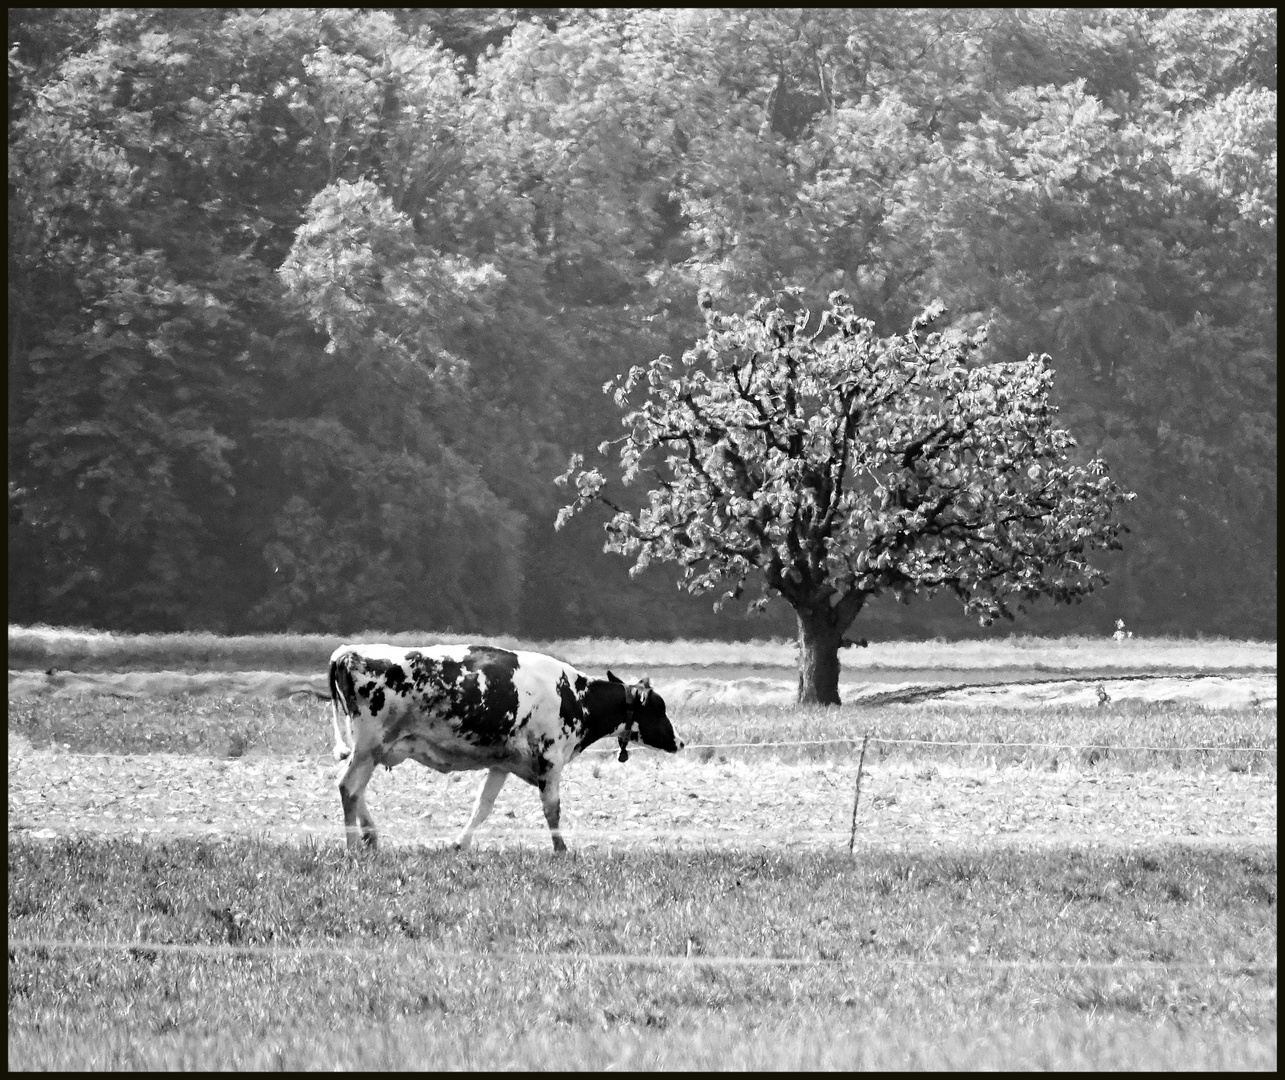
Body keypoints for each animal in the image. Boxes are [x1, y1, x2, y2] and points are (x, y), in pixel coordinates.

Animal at [326, 640, 683, 853]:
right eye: (659, 708)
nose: (680, 741)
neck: (575, 696)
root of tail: (348, 652)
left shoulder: (501, 764)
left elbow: (482, 807)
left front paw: (459, 844)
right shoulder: (551, 758)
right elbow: (552, 808)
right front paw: (561, 850)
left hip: (371, 750)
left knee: (356, 790)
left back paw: (371, 836)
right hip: (369, 745)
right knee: (349, 787)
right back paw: (353, 843)